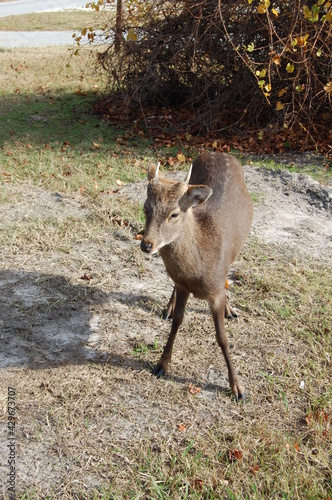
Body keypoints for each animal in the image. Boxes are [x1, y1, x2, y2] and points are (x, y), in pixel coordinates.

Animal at [141, 152, 253, 402]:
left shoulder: (216, 292)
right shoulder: (183, 285)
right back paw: (168, 307)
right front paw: (161, 365)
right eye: (145, 207)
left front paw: (237, 388)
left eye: (174, 213)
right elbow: (177, 322)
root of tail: (219, 153)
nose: (146, 244)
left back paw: (230, 309)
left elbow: (222, 337)